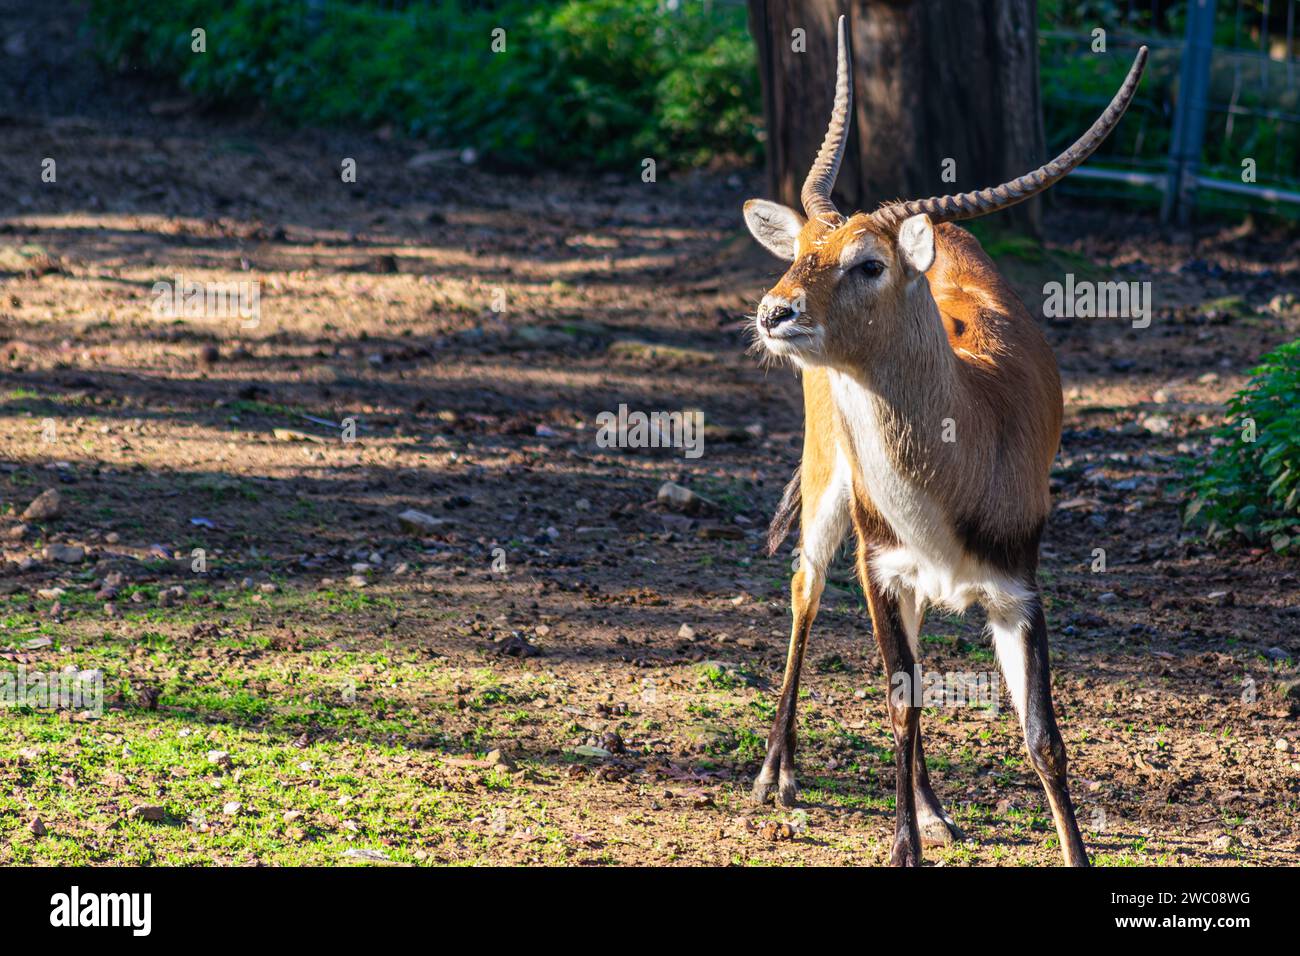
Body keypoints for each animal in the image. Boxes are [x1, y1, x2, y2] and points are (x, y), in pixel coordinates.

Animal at [743, 14, 1149, 868]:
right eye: (804, 249)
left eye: (868, 263)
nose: (774, 313)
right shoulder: (878, 569)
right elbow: (901, 701)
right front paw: (902, 848)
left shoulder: (1018, 591)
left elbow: (1043, 737)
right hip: (828, 491)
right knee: (803, 587)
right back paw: (776, 776)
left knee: (919, 653)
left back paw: (934, 810)